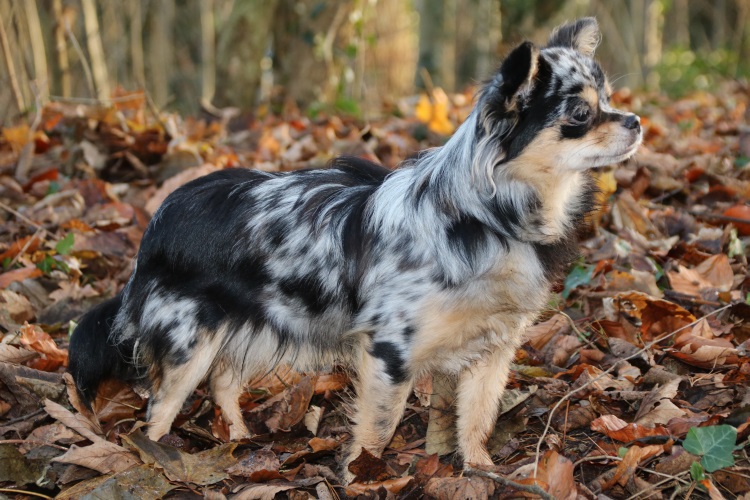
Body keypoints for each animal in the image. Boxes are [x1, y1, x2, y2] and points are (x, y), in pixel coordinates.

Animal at [69, 17, 641, 480]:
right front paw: (359, 476)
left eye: (609, 101)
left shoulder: (491, 350)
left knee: (224, 385)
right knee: (158, 410)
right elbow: (378, 429)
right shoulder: (390, 352)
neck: (490, 216)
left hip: (247, 329)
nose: (635, 121)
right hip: (190, 342)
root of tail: (162, 217)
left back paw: (238, 442)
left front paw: (480, 470)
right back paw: (155, 457)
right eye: (580, 113)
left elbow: (474, 419)